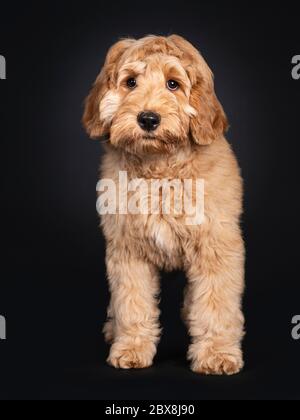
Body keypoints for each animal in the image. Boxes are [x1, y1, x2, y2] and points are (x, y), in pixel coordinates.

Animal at [82, 33, 244, 374]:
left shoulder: (216, 246)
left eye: (173, 84)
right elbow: (132, 302)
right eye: (130, 82)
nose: (148, 119)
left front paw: (217, 353)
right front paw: (131, 346)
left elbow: (217, 303)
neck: (160, 168)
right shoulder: (128, 249)